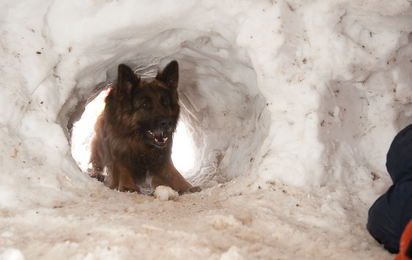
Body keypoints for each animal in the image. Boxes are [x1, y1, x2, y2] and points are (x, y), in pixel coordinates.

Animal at [89, 61, 201, 194]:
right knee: (96, 160)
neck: (142, 145)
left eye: (165, 103)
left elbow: (173, 172)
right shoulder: (118, 150)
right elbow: (123, 169)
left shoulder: (161, 156)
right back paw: (96, 173)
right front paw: (127, 186)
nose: (168, 123)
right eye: (145, 105)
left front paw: (187, 186)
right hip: (100, 137)